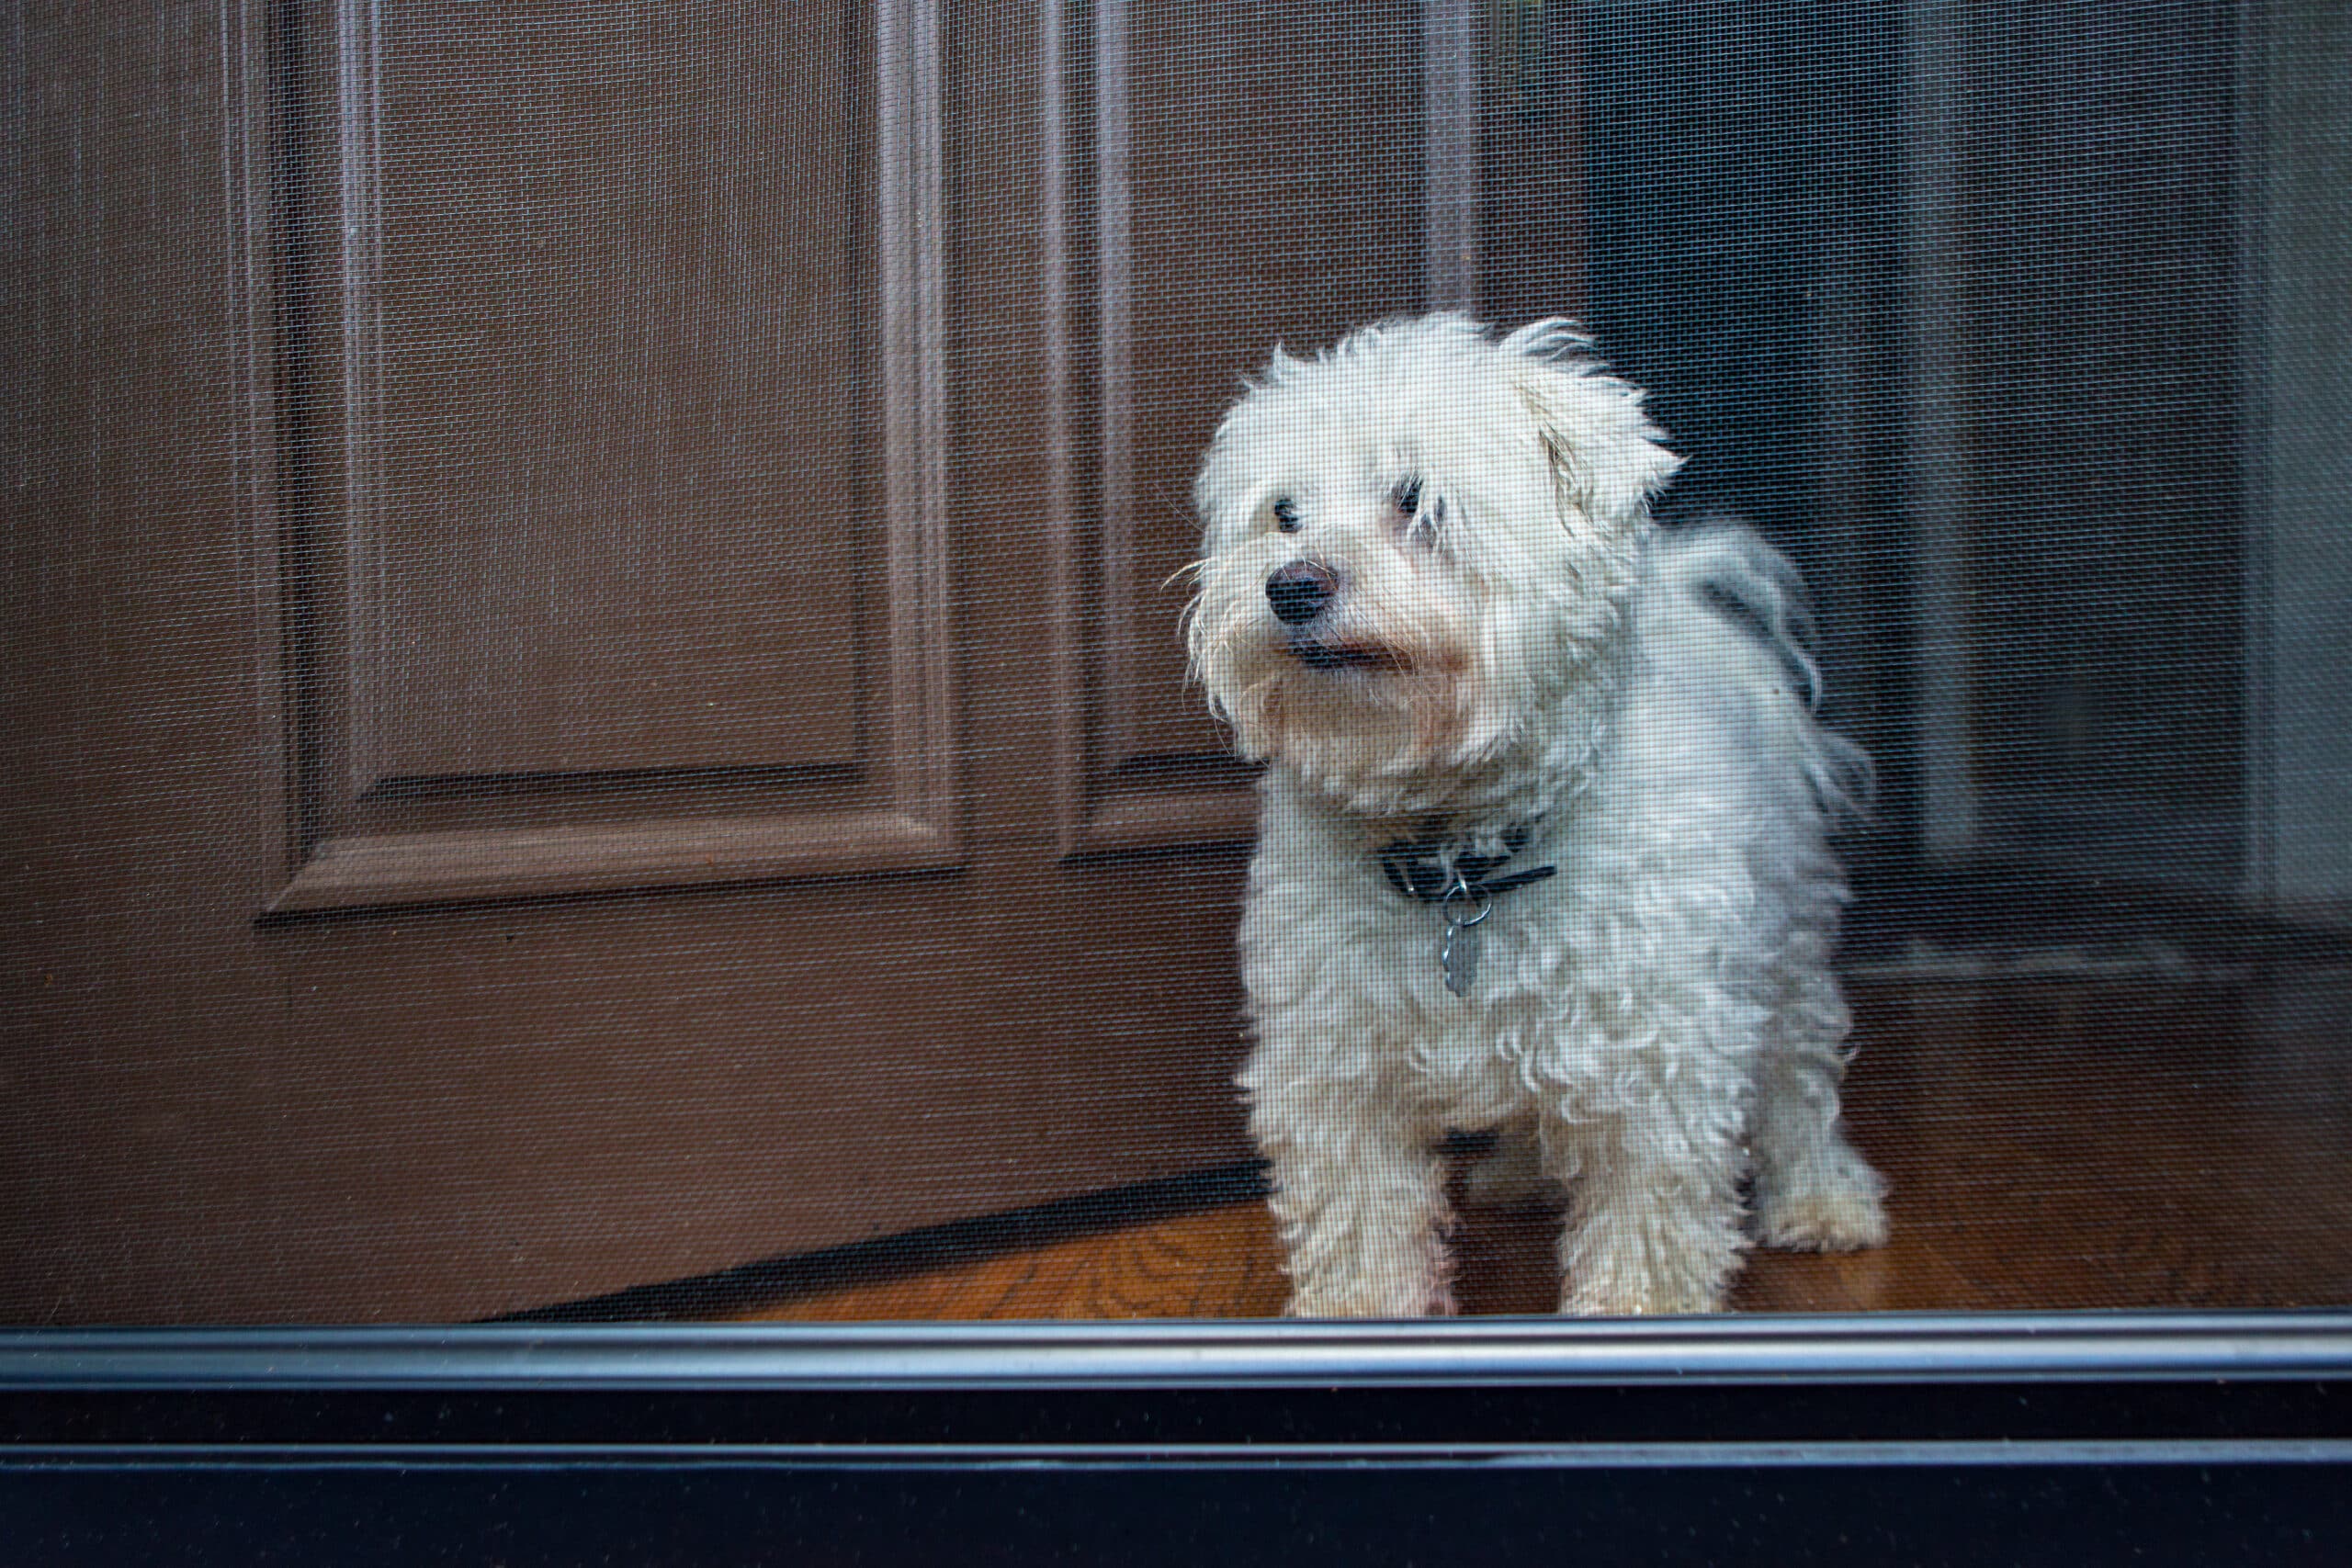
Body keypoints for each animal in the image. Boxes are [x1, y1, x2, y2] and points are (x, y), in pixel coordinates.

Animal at [1185, 312, 1882, 1316]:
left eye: (1417, 500)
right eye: (1283, 514)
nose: (1291, 585)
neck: (1461, 862)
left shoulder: (1658, 1063)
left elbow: (1648, 1228)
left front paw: (1636, 1317)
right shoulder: (1338, 1066)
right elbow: (1360, 1223)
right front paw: (1359, 1314)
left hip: (1785, 947)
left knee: (1799, 1077)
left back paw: (1823, 1197)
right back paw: (1518, 1174)